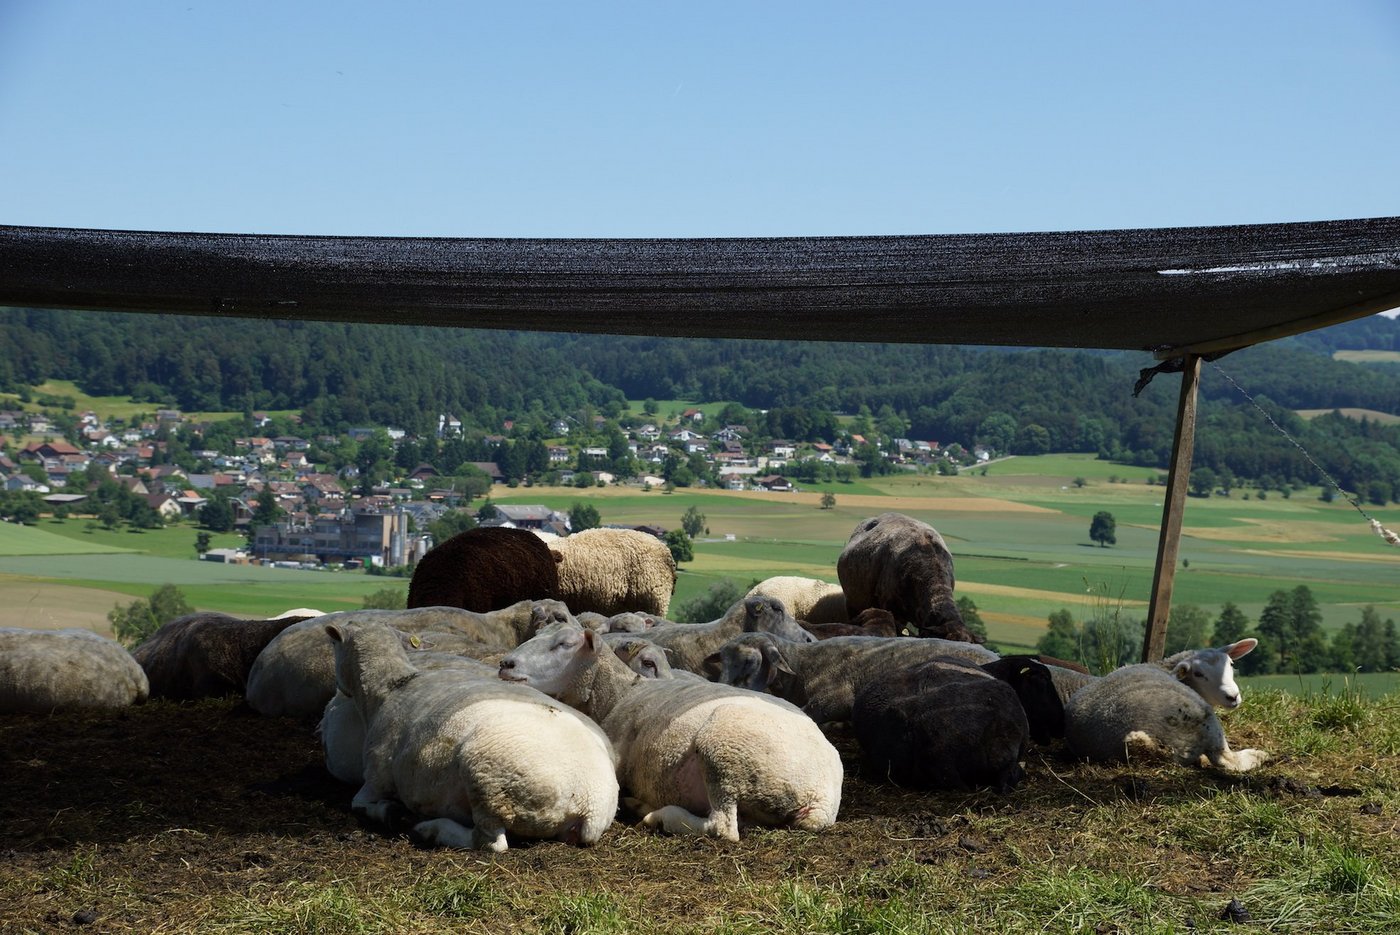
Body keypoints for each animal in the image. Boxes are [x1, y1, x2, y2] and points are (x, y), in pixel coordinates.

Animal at [326, 620, 619, 850]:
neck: (392, 686)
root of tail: (590, 802)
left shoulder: (377, 776)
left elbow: (359, 803)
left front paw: (391, 813)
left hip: (489, 782)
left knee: (490, 842)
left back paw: (430, 830)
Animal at [499, 622, 842, 842]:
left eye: (564, 644)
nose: (506, 664)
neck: (617, 695)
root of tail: (822, 795)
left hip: (725, 751)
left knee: (722, 827)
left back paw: (657, 816)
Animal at [708, 631, 999, 725]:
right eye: (722, 661)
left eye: (750, 661)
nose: (720, 690)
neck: (803, 665)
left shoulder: (836, 696)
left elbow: (808, 711)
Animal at [1064, 639, 1267, 771]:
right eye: (1198, 674)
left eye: (1231, 664)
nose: (1233, 697)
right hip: (1202, 718)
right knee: (1227, 759)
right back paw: (1258, 756)